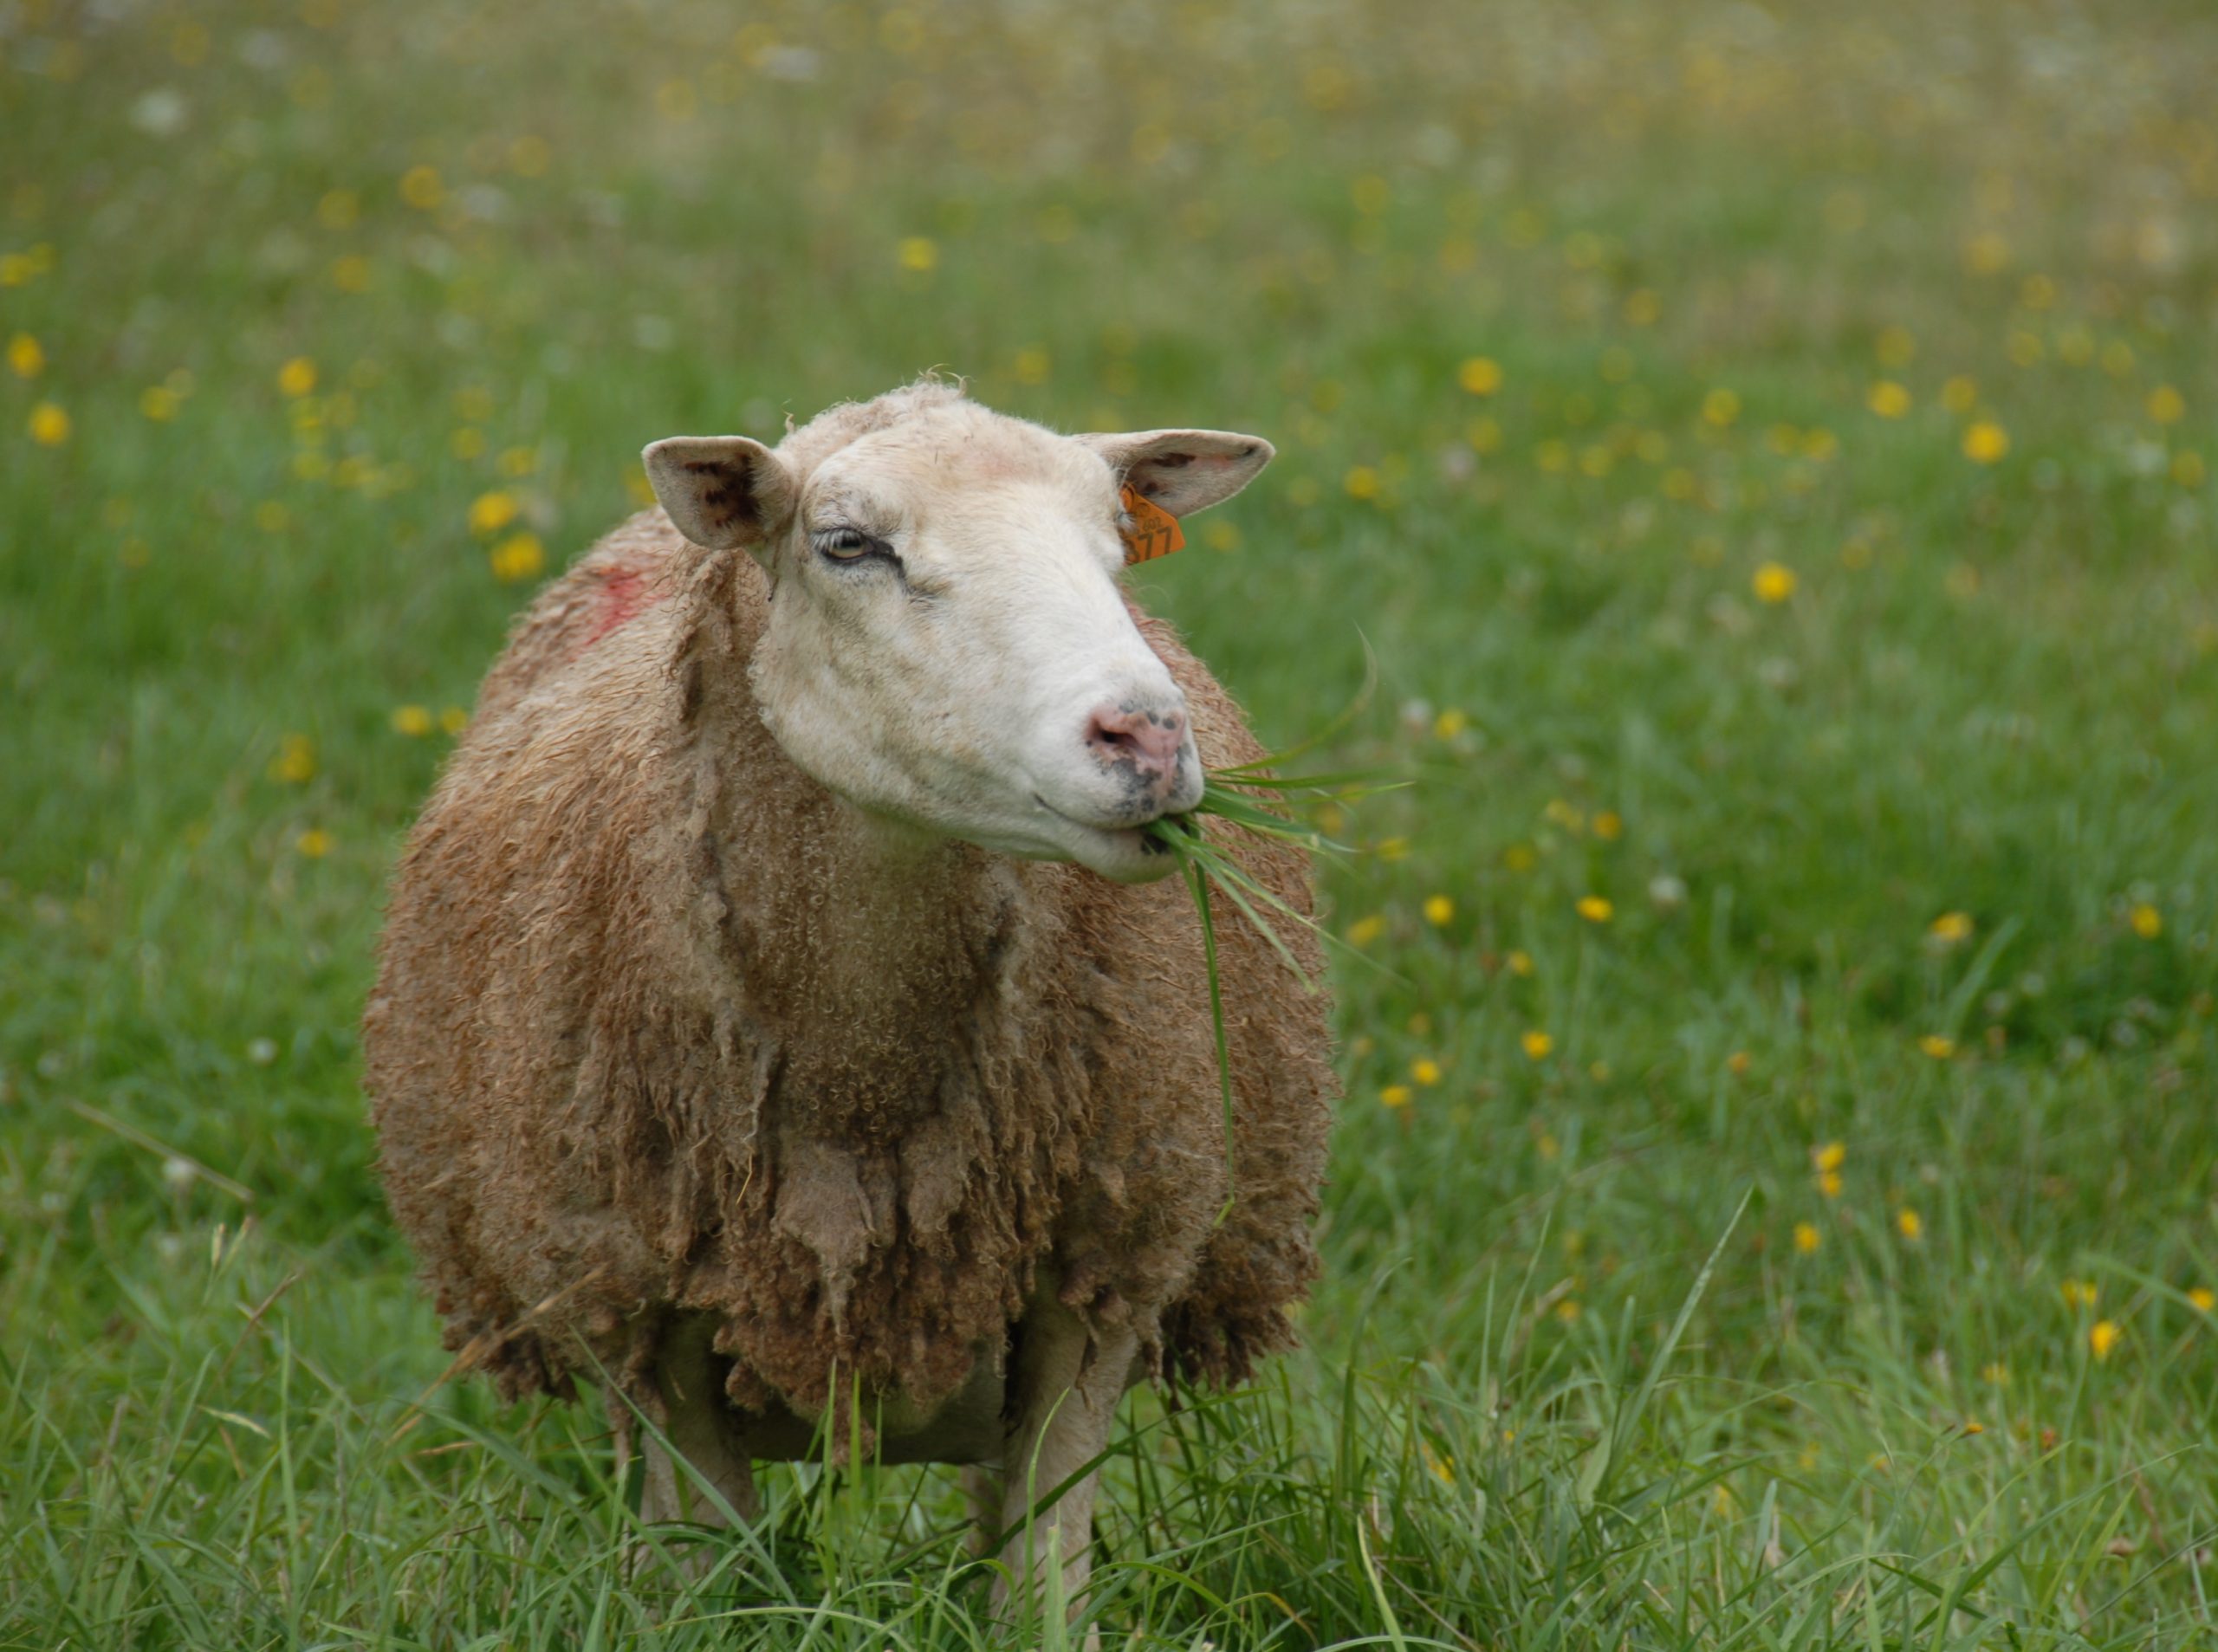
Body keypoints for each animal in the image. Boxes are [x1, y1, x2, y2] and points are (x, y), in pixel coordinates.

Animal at [363, 379, 1331, 1614]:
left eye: (1116, 540)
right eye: (848, 546)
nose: (1147, 739)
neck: (862, 1078)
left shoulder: (1103, 1274)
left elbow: (1042, 1577)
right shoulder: (647, 1317)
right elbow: (707, 1574)